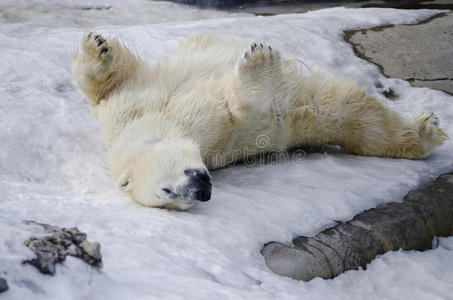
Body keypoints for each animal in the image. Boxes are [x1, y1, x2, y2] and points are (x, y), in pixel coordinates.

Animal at [72, 32, 446, 210]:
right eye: (170, 198)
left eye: (165, 189)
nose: (202, 190)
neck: (162, 122)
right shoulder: (216, 141)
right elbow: (241, 111)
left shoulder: (129, 109)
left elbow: (105, 87)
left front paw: (97, 47)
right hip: (310, 117)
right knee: (357, 118)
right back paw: (425, 133)